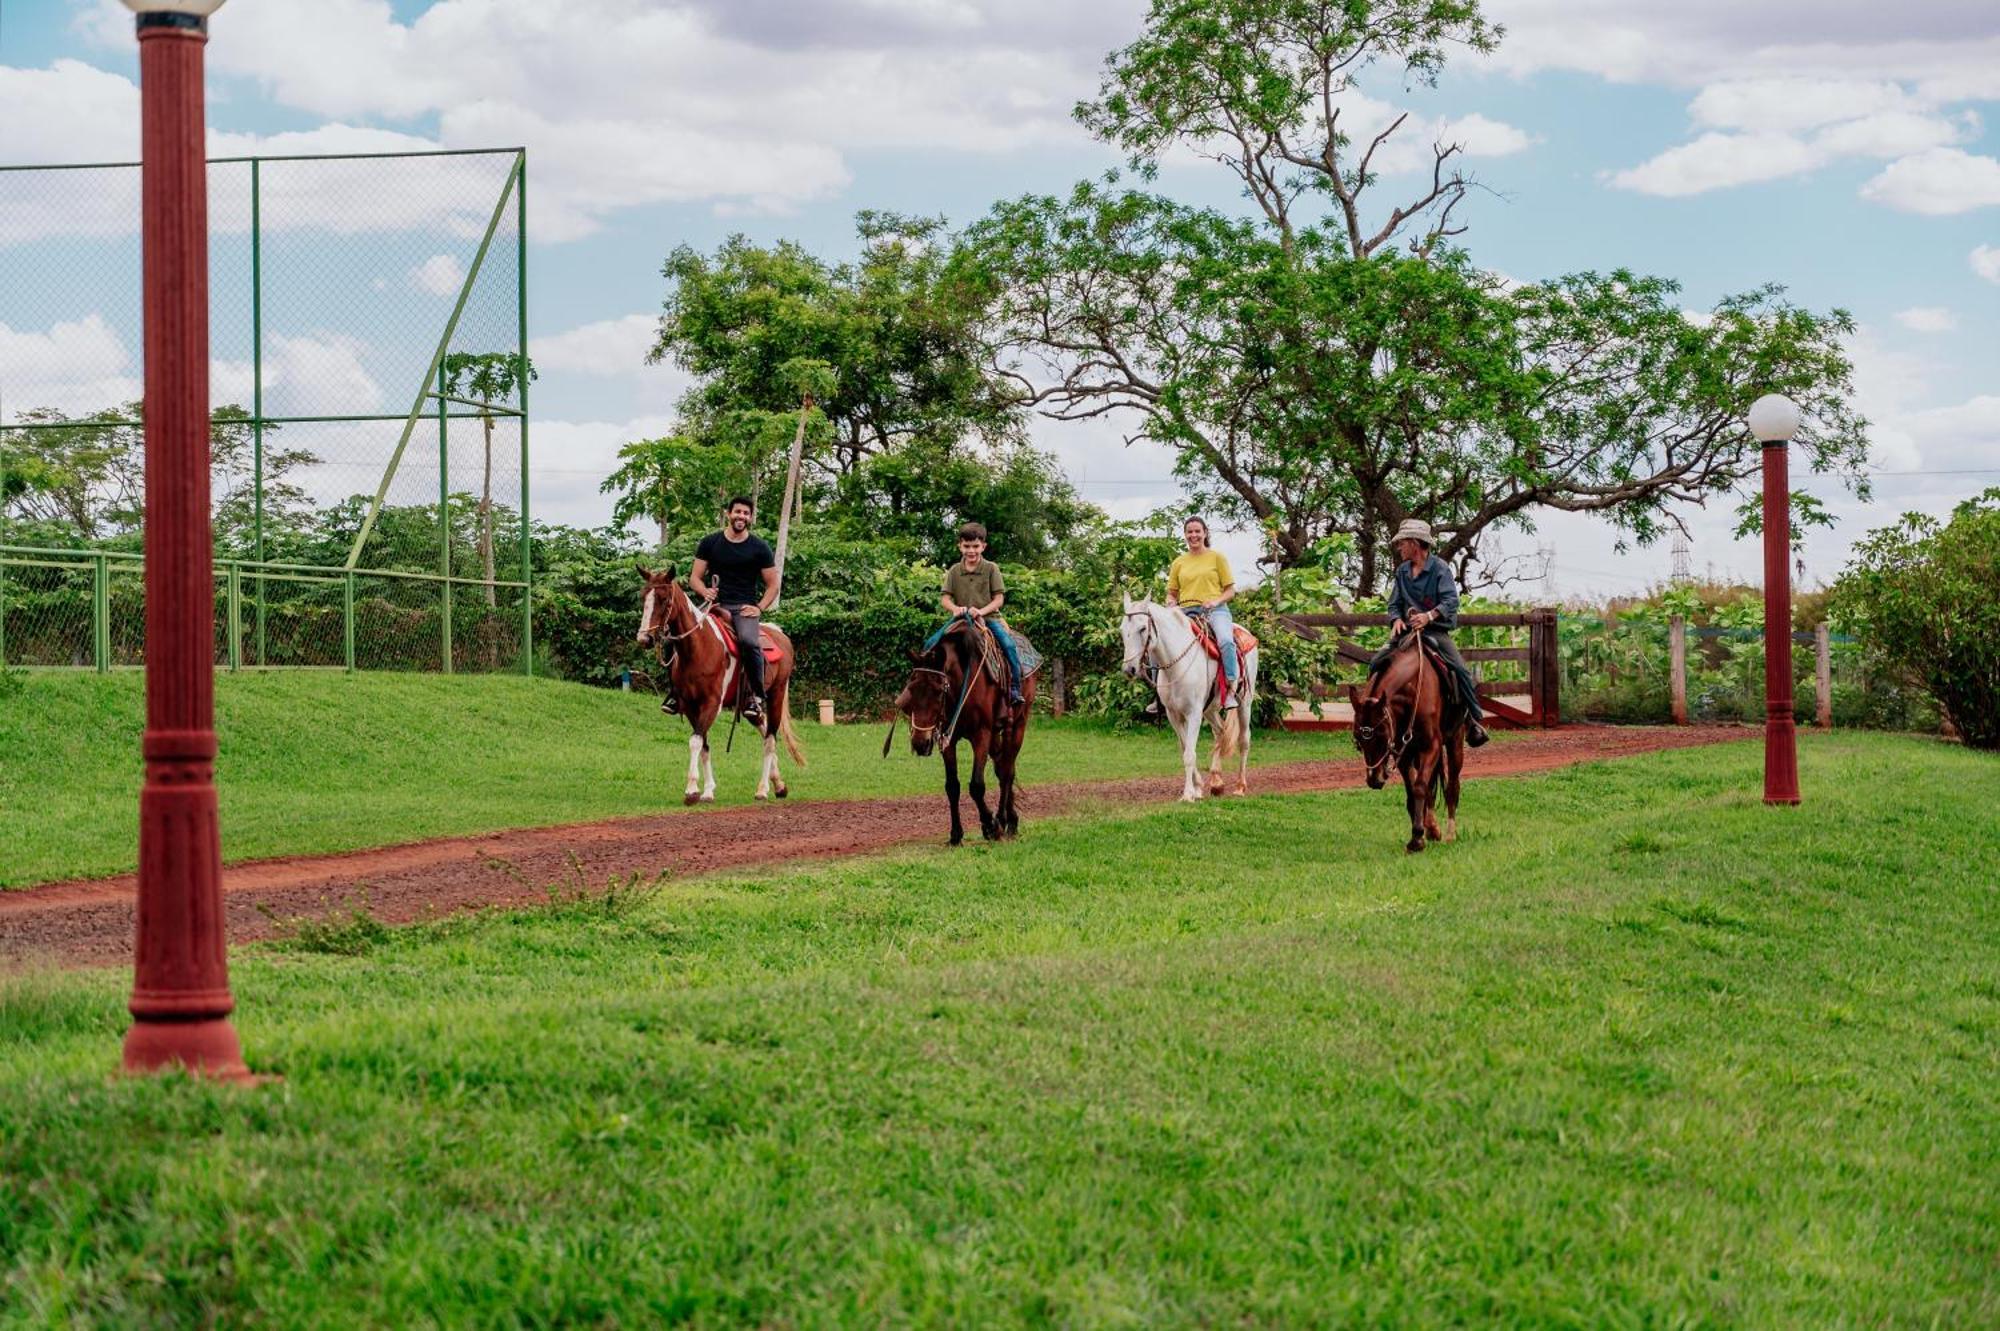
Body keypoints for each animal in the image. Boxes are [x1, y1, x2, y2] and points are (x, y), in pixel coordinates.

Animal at [632, 559, 804, 799]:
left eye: (664, 599)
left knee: (770, 739)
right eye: (643, 597)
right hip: (748, 706)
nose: (644, 638)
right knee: (763, 727)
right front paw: (707, 790)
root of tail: (779, 634)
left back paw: (763, 789)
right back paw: (778, 783)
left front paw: (692, 788)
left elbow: (695, 741)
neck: (699, 648)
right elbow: (703, 744)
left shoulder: (712, 703)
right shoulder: (690, 705)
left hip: (776, 695)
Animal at [900, 619, 1040, 839]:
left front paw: (990, 825)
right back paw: (1011, 819)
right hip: (995, 734)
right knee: (1001, 767)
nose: (920, 743)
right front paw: (956, 834)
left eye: (938, 692)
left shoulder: (981, 734)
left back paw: (1004, 821)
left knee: (1007, 772)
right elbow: (952, 786)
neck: (961, 684)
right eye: (911, 689)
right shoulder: (946, 738)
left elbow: (976, 785)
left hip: (1017, 725)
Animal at [1120, 591, 1256, 799]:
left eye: (1143, 628)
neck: (1176, 666)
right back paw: (1216, 782)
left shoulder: (1193, 714)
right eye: (1121, 630)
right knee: (1220, 731)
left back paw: (1240, 787)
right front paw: (1198, 787)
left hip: (1244, 703)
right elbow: (1185, 748)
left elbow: (1189, 754)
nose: (1129, 669)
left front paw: (1188, 794)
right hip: (1210, 709)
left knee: (1244, 740)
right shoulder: (1174, 715)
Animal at [1344, 631, 1472, 851]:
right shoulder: (1404, 752)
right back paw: (1433, 828)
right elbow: (1414, 791)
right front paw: (1423, 832)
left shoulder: (1431, 746)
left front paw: (1417, 839)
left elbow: (1420, 787)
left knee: (1452, 787)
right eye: (1358, 738)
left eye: (1382, 735)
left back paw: (1450, 834)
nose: (1374, 780)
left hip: (1455, 741)